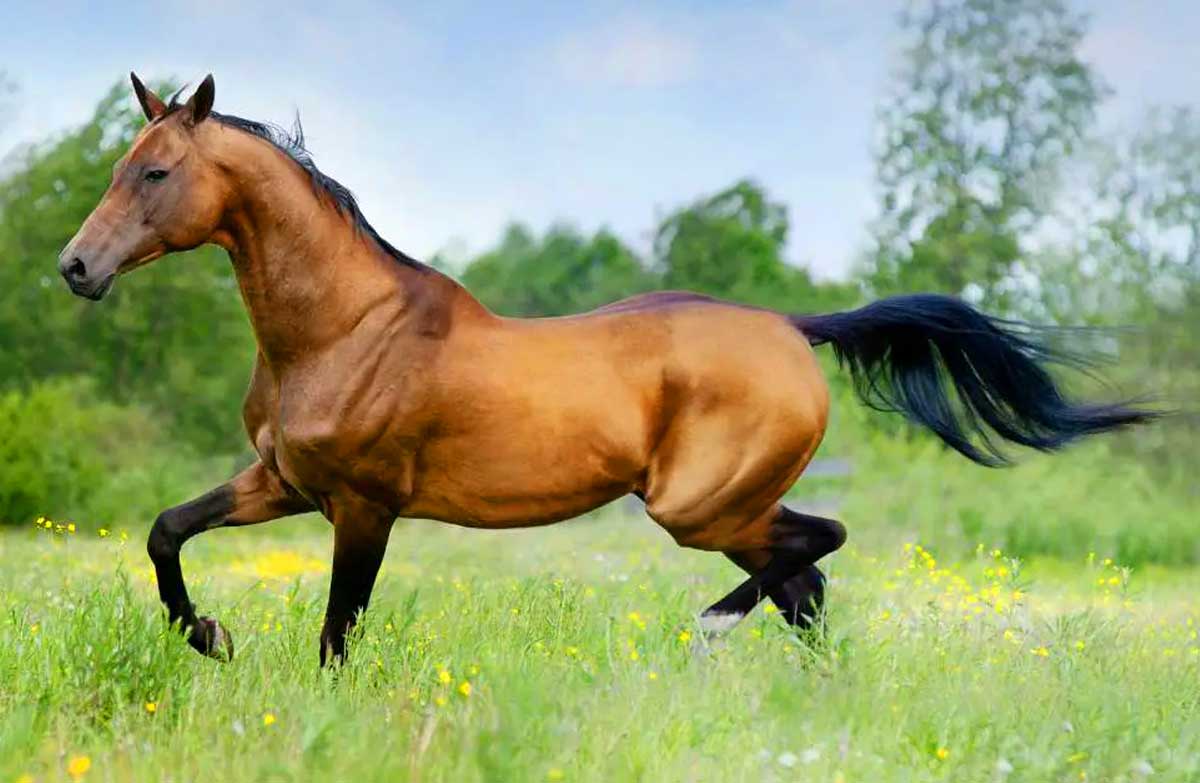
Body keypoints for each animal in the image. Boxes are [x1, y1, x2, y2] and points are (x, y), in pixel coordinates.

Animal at [58, 74, 1154, 665]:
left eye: (156, 172)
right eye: (118, 165)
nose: (77, 267)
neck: (341, 329)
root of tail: (792, 327)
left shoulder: (364, 507)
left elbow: (338, 632)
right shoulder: (283, 483)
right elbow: (166, 532)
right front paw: (209, 636)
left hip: (699, 506)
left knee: (817, 548)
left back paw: (709, 631)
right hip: (725, 511)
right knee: (806, 583)